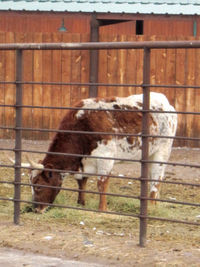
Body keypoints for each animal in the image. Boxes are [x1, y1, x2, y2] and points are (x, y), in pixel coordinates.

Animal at [20, 92, 177, 214]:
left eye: (39, 185)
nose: (36, 209)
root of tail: (164, 101)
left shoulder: (105, 159)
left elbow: (101, 184)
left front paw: (102, 209)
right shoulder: (82, 163)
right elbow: (81, 182)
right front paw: (80, 203)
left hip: (163, 151)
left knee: (157, 179)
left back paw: (152, 206)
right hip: (150, 154)